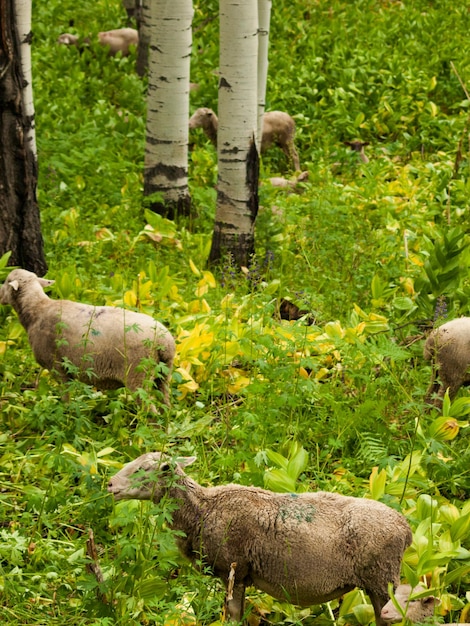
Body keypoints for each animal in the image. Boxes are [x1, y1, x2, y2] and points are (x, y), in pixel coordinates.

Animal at [0, 266, 175, 404]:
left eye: (7, 281)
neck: (37, 308)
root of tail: (165, 342)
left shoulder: (58, 366)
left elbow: (65, 398)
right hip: (163, 375)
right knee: (166, 406)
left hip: (138, 375)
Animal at [108, 448, 414, 620]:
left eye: (142, 469)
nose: (110, 484)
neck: (202, 509)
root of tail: (405, 527)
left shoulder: (234, 569)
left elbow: (233, 615)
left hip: (381, 578)